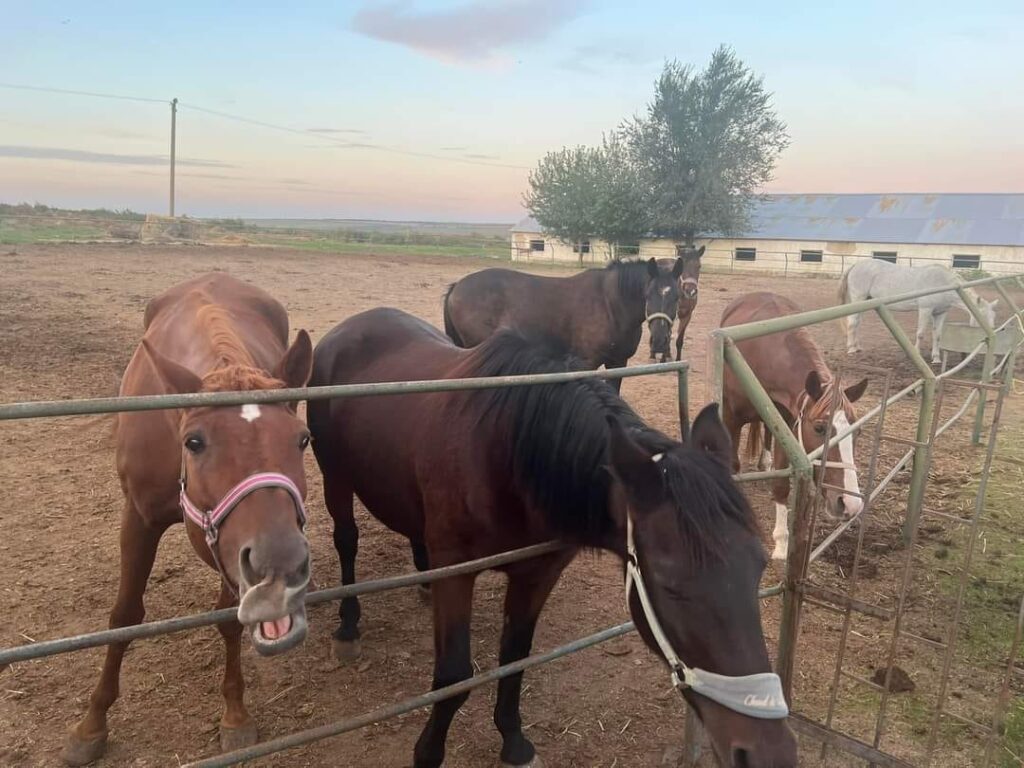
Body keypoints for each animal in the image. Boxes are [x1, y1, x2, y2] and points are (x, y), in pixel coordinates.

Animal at [63, 273, 314, 766]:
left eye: (303, 439)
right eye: (194, 442)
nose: (281, 564)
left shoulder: (232, 550)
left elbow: (229, 620)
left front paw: (234, 715)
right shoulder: (138, 518)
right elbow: (124, 616)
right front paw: (91, 724)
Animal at [308, 308, 797, 768]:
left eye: (758, 569)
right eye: (671, 586)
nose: (767, 754)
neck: (505, 452)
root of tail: (349, 330)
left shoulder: (538, 573)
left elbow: (515, 659)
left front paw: (514, 742)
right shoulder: (457, 571)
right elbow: (452, 677)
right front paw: (428, 753)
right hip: (336, 478)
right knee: (346, 540)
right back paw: (348, 625)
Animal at [442, 257, 685, 390]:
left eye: (677, 297)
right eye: (648, 295)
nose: (660, 342)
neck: (609, 304)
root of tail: (456, 287)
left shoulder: (618, 363)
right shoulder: (585, 363)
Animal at [720, 292, 869, 561]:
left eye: (858, 432)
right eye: (820, 429)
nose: (850, 504)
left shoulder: (788, 425)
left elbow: (781, 485)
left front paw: (781, 543)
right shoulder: (730, 418)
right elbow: (733, 467)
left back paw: (765, 461)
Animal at [839, 259, 998, 364]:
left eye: (993, 317)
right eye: (981, 316)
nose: (992, 335)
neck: (943, 283)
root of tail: (856, 265)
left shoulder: (940, 313)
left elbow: (937, 335)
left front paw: (936, 358)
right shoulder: (925, 310)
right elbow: (920, 334)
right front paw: (917, 354)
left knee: (857, 323)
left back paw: (858, 347)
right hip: (858, 299)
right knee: (852, 323)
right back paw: (851, 350)